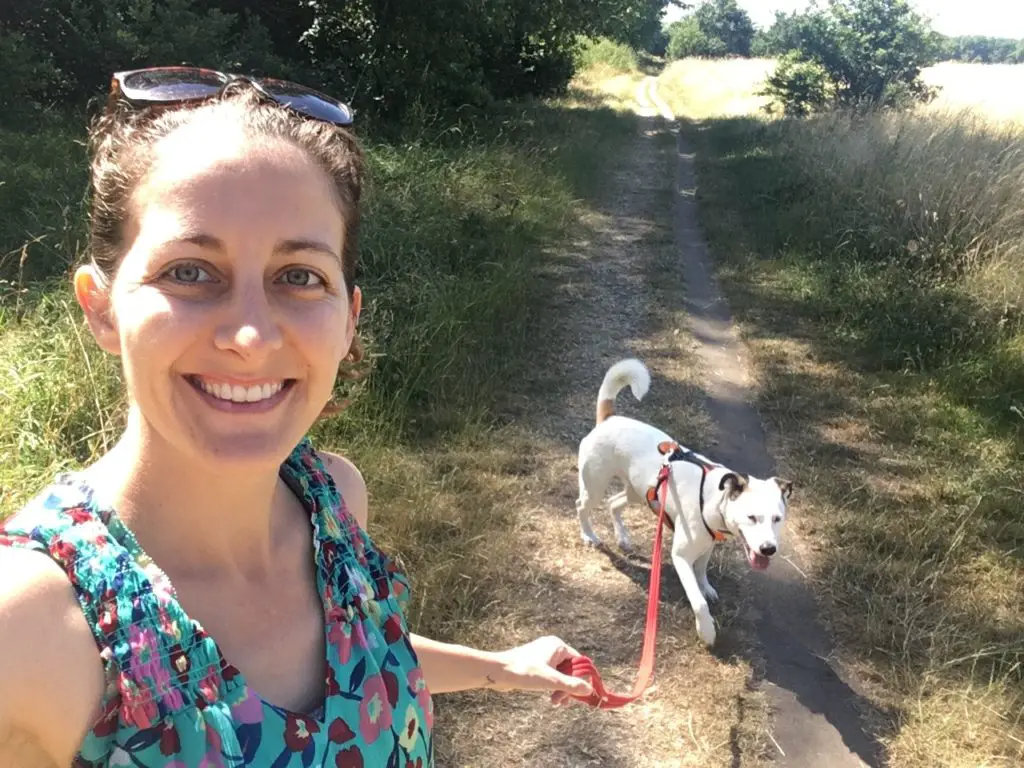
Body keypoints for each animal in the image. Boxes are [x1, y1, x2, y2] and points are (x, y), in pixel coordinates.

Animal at [577, 358, 790, 647]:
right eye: (752, 517)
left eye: (777, 519)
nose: (768, 549)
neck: (712, 498)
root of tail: (609, 418)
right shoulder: (680, 557)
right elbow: (698, 602)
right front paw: (707, 631)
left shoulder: (708, 545)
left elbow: (702, 572)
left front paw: (706, 587)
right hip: (595, 485)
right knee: (582, 506)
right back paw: (589, 535)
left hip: (638, 491)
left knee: (614, 502)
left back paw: (623, 538)